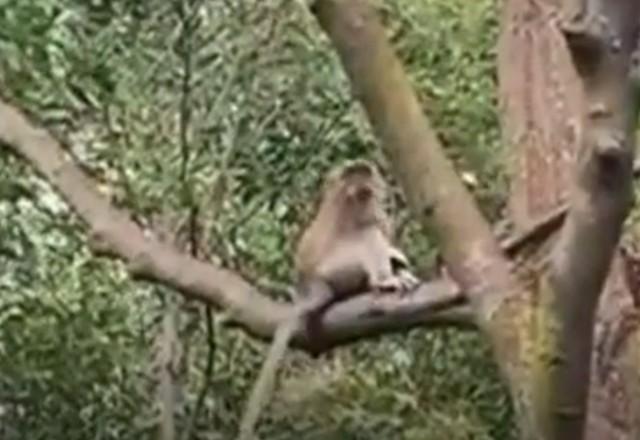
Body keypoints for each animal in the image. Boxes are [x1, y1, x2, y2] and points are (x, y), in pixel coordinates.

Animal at [235, 159, 419, 440]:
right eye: (365, 186)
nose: (374, 191)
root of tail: (310, 283)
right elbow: (372, 226)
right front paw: (393, 261)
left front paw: (399, 262)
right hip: (337, 268)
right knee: (367, 233)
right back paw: (383, 280)